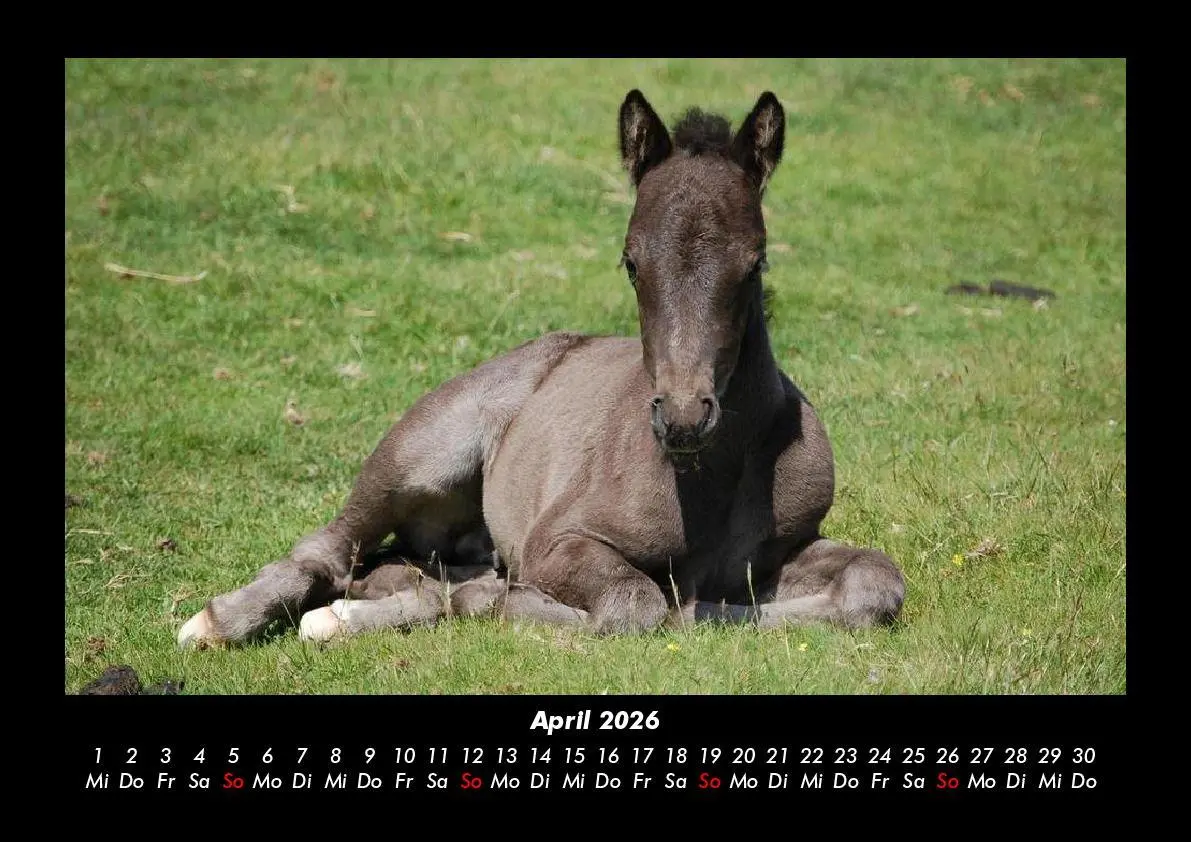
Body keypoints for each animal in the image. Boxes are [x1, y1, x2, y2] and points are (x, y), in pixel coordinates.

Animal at [178, 90, 905, 648]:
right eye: (631, 261)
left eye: (753, 263)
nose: (682, 417)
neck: (707, 478)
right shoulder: (557, 543)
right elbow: (634, 605)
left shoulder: (782, 550)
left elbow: (873, 584)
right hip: (422, 452)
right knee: (332, 547)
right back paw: (223, 621)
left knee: (400, 569)